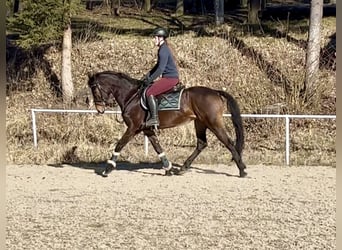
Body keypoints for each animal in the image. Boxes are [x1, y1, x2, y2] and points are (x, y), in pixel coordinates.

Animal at [86, 71, 246, 178]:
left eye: (94, 88)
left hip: (213, 123)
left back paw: (242, 170)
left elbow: (119, 144)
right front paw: (168, 168)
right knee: (201, 143)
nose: (99, 109)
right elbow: (158, 147)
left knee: (228, 143)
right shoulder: (147, 129)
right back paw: (182, 168)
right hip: (200, 123)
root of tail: (215, 92)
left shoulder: (132, 128)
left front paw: (107, 169)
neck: (131, 96)